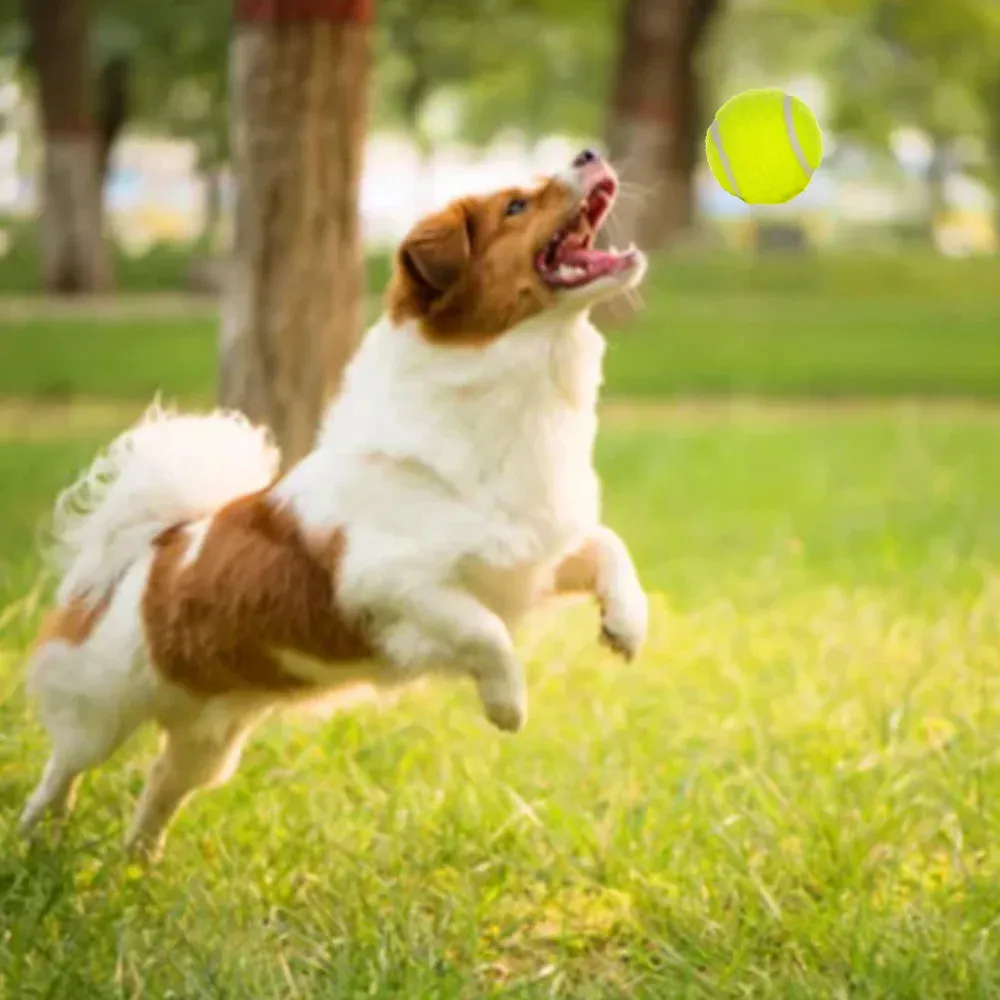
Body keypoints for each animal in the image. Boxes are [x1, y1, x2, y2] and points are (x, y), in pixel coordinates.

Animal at [21, 150, 656, 860]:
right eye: (516, 206)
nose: (587, 154)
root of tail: (152, 549)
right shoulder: (392, 586)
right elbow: (484, 632)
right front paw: (507, 705)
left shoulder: (531, 556)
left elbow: (608, 547)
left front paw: (626, 626)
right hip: (100, 713)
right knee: (62, 770)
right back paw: (35, 840)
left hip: (209, 742)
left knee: (160, 788)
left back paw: (139, 865)